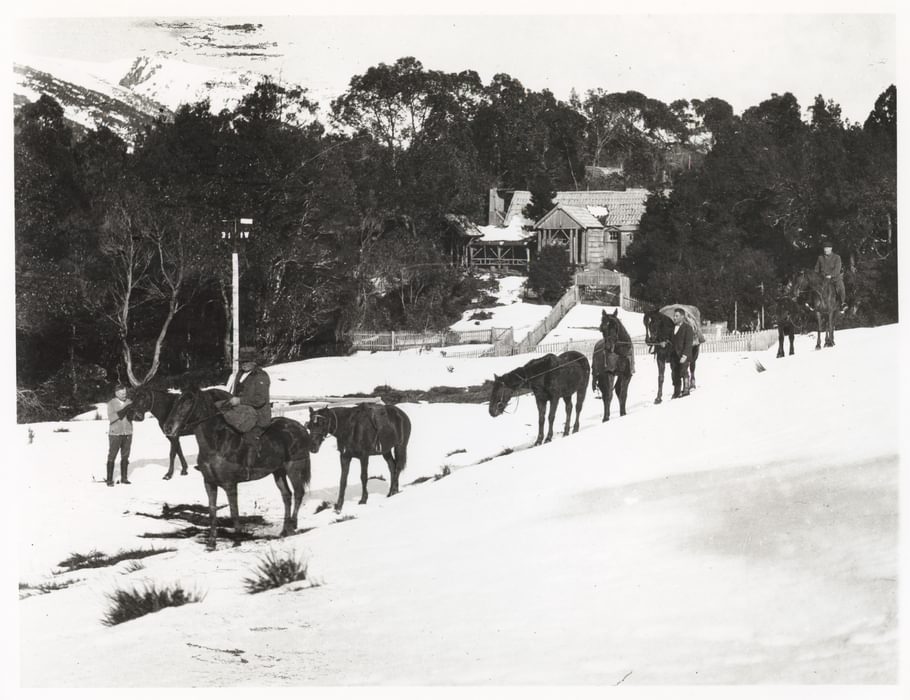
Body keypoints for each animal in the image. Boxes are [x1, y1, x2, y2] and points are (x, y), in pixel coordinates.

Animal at [159, 386, 312, 548]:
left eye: (188, 402)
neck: (217, 443)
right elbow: (212, 511)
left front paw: (237, 541)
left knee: (298, 493)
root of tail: (300, 428)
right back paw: (284, 530)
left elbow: (234, 512)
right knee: (286, 495)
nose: (168, 428)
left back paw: (293, 526)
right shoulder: (209, 483)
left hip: (294, 468)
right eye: (177, 400)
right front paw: (211, 543)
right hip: (278, 471)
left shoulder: (230, 485)